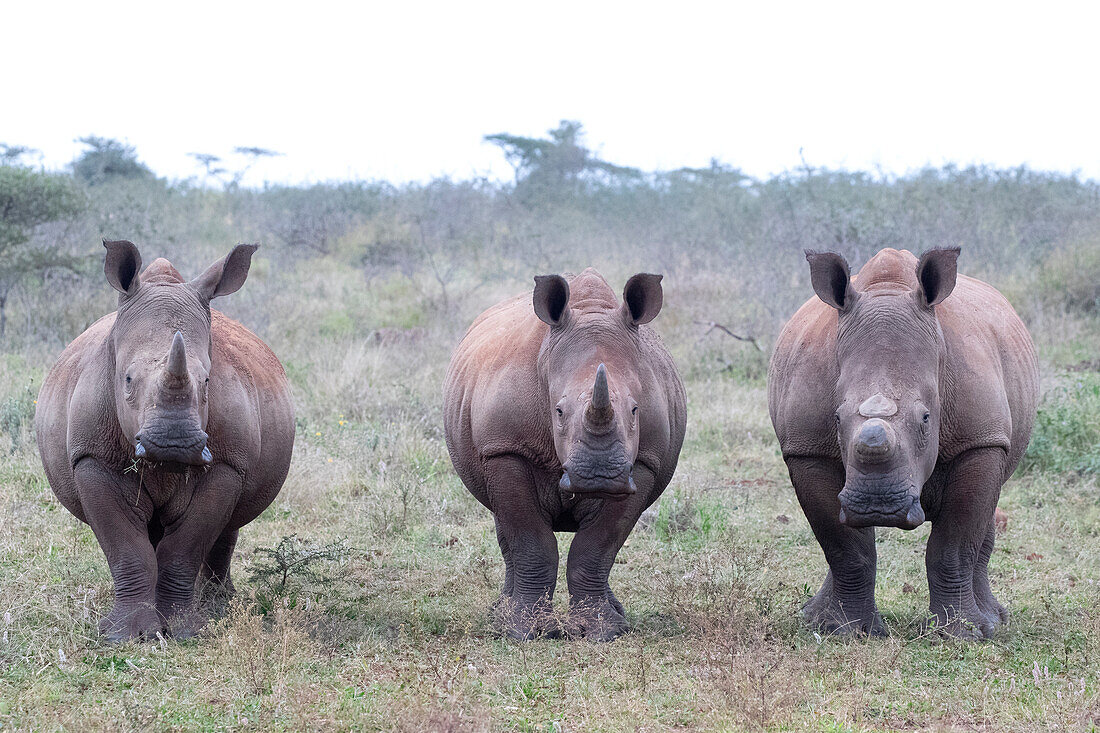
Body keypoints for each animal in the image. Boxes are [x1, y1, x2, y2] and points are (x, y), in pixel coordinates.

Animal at [36, 239, 294, 638]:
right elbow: (126, 549)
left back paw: (218, 608)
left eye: (207, 381)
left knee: (225, 528)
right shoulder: (91, 458)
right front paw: (126, 636)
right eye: (127, 379)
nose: (174, 444)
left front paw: (185, 630)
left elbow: (184, 549)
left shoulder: (227, 463)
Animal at [765, 245, 1038, 633]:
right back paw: (817, 619)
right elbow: (844, 546)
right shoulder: (807, 448)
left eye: (926, 419)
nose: (877, 505)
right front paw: (848, 631)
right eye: (836, 418)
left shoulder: (980, 439)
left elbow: (953, 545)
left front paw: (961, 634)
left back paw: (993, 621)